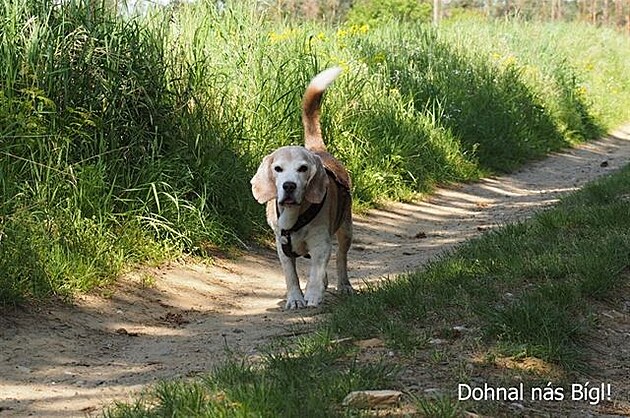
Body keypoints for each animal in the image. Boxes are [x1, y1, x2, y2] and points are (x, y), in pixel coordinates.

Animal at [249, 68, 354, 310]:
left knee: (341, 259)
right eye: (278, 169)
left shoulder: (321, 243)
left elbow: (316, 272)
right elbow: (291, 276)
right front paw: (296, 298)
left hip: (346, 229)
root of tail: (317, 150)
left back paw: (343, 285)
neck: (295, 215)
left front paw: (313, 295)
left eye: (303, 168)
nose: (289, 185)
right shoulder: (282, 248)